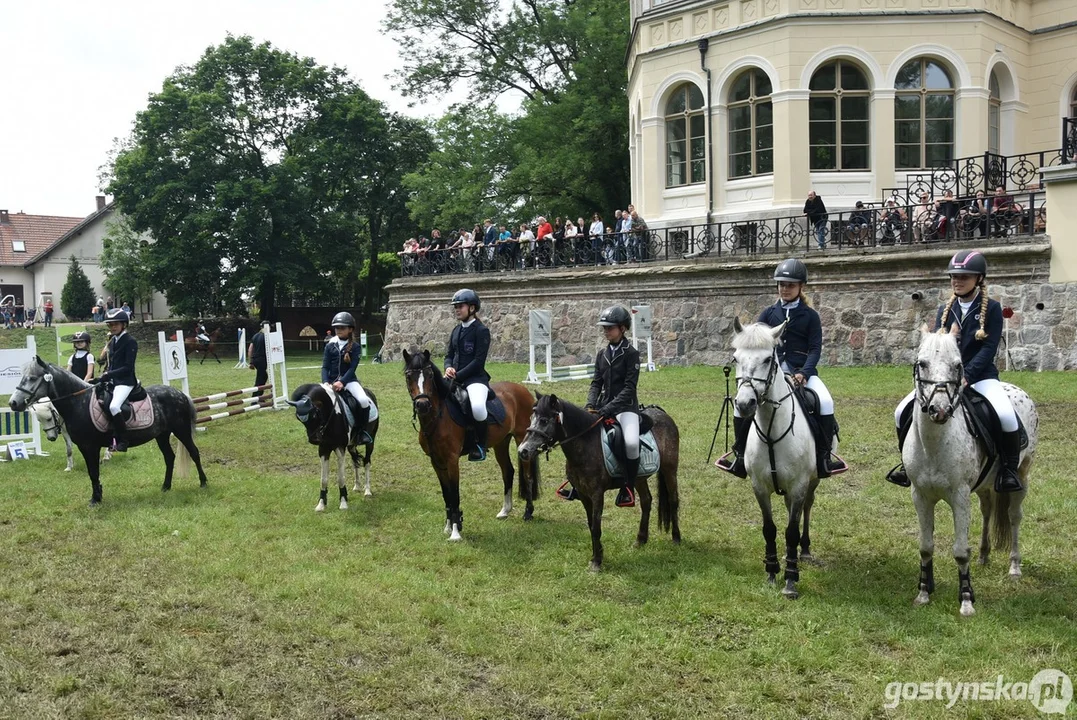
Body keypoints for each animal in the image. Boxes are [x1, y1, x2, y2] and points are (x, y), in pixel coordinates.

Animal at [8, 355, 207, 503]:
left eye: (32, 378)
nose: (13, 403)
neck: (78, 402)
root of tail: (181, 394)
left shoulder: (90, 446)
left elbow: (93, 471)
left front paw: (96, 499)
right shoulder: (84, 447)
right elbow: (92, 472)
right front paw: (97, 496)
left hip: (181, 431)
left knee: (194, 452)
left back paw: (203, 483)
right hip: (162, 435)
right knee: (169, 457)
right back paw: (166, 487)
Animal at [288, 380, 381, 510]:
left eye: (314, 415)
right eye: (299, 418)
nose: (314, 440)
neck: (331, 416)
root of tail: (369, 392)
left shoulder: (339, 448)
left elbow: (340, 478)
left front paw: (343, 502)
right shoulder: (323, 449)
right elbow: (323, 479)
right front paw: (321, 504)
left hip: (371, 441)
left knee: (366, 462)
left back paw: (367, 490)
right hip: (351, 445)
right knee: (355, 462)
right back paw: (357, 486)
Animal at [402, 346, 542, 538]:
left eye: (429, 375)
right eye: (409, 376)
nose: (422, 405)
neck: (438, 417)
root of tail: (523, 391)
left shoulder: (452, 460)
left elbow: (454, 494)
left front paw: (455, 531)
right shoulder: (436, 462)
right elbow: (446, 494)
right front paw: (448, 526)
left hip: (522, 440)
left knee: (527, 475)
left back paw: (528, 512)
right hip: (501, 443)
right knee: (508, 471)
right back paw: (505, 511)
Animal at [514, 389, 680, 568]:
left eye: (544, 421)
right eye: (531, 418)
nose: (523, 451)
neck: (585, 443)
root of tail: (663, 415)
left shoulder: (597, 494)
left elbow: (596, 526)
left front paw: (597, 563)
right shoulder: (583, 493)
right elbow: (590, 525)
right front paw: (596, 556)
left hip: (670, 470)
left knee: (673, 501)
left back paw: (676, 538)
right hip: (639, 478)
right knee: (646, 501)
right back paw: (640, 540)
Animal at [732, 320, 822, 602]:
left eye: (767, 359)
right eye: (735, 358)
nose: (744, 404)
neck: (772, 432)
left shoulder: (799, 485)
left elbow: (791, 531)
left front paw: (790, 581)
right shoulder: (759, 487)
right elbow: (769, 528)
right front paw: (772, 573)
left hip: (812, 482)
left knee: (806, 508)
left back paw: (804, 550)